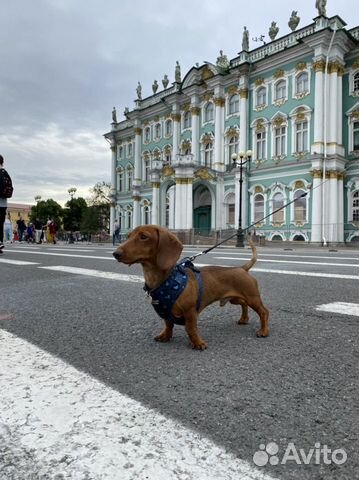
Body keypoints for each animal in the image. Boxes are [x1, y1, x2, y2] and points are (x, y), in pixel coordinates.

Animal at [113, 225, 270, 348]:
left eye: (143, 236)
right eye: (128, 236)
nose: (115, 253)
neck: (165, 280)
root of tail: (243, 268)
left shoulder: (190, 312)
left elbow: (191, 329)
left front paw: (198, 343)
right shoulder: (167, 314)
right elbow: (168, 325)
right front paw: (165, 336)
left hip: (252, 298)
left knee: (264, 312)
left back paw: (263, 331)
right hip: (235, 299)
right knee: (244, 305)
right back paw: (244, 319)